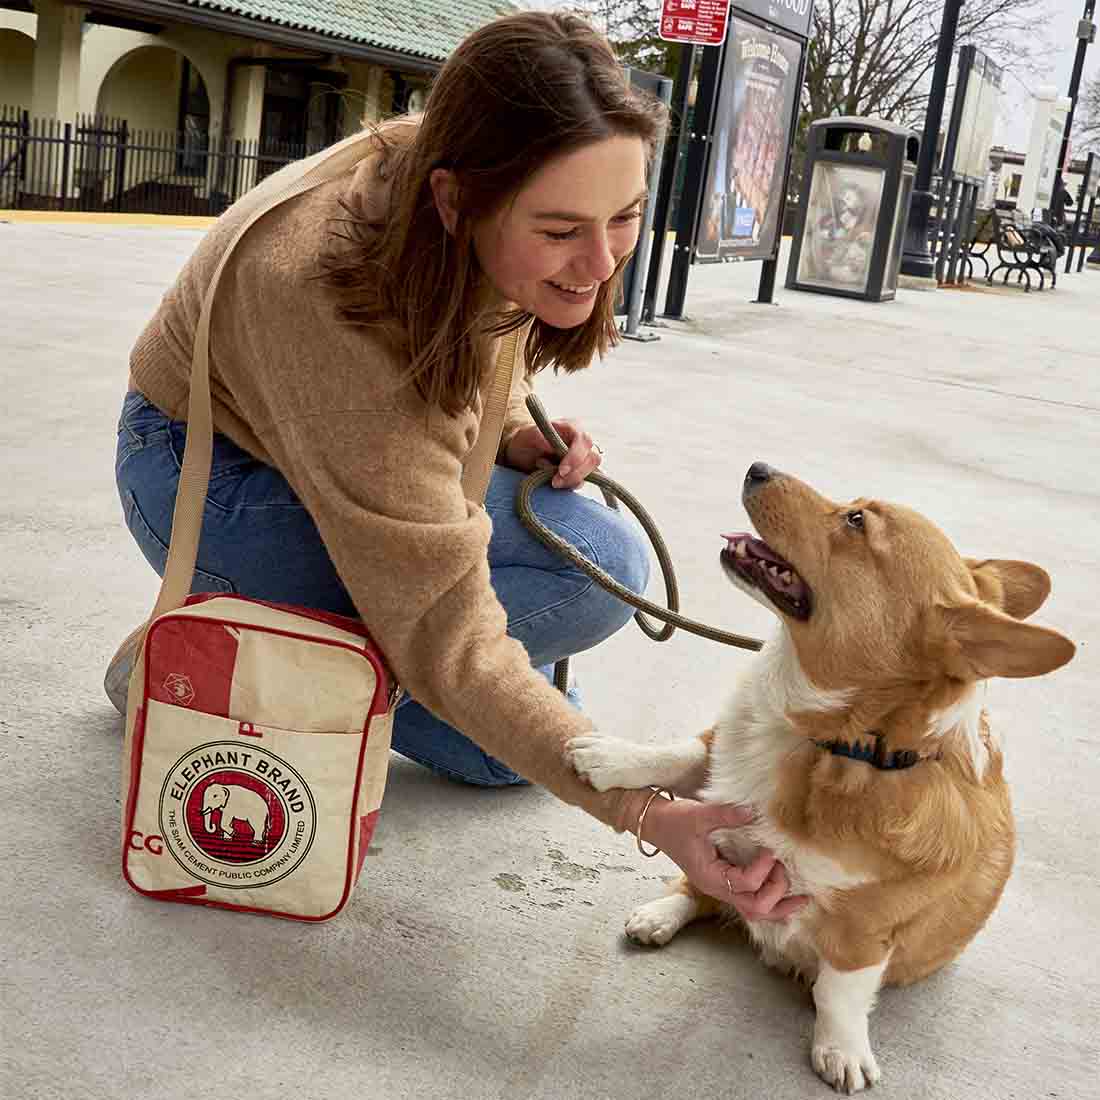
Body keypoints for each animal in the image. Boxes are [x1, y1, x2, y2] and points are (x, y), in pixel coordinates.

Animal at [567, 462, 1073, 1091]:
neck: (833, 745)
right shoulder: (720, 759)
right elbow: (674, 754)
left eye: (856, 521)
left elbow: (839, 991)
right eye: (855, 505)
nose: (757, 467)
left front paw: (841, 1050)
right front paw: (608, 757)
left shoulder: (863, 931)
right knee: (695, 886)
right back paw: (659, 915)